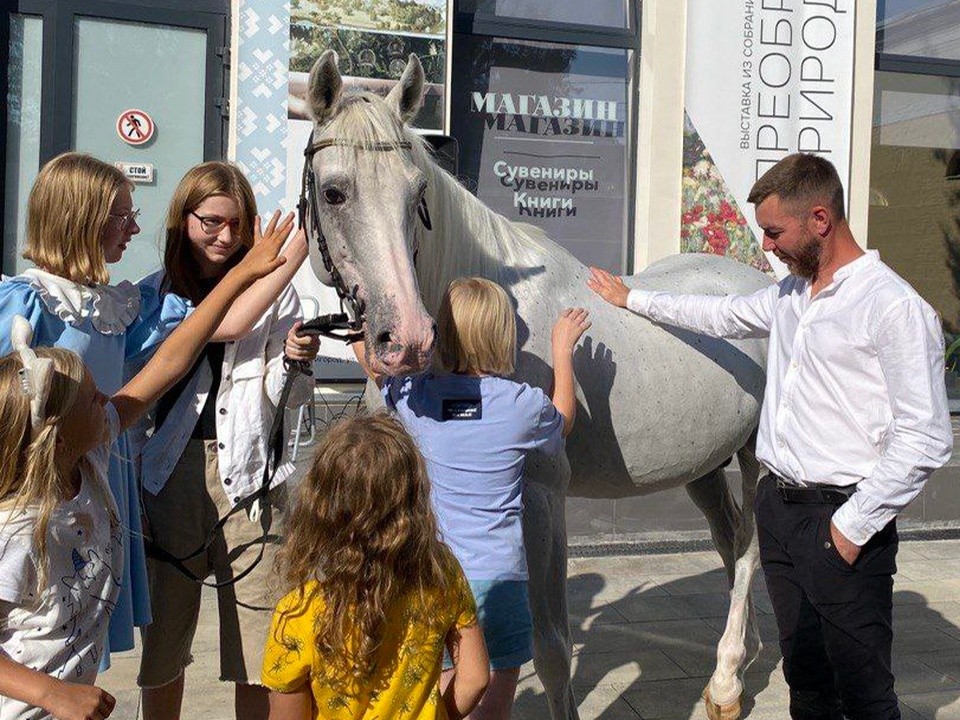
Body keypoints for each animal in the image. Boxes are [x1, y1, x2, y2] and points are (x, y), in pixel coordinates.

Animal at [304, 52, 776, 720]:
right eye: (334, 192)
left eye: (418, 193)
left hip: (758, 456)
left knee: (751, 547)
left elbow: (550, 645)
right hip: (705, 464)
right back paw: (739, 662)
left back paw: (729, 676)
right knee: (730, 539)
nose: (407, 338)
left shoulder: (542, 497)